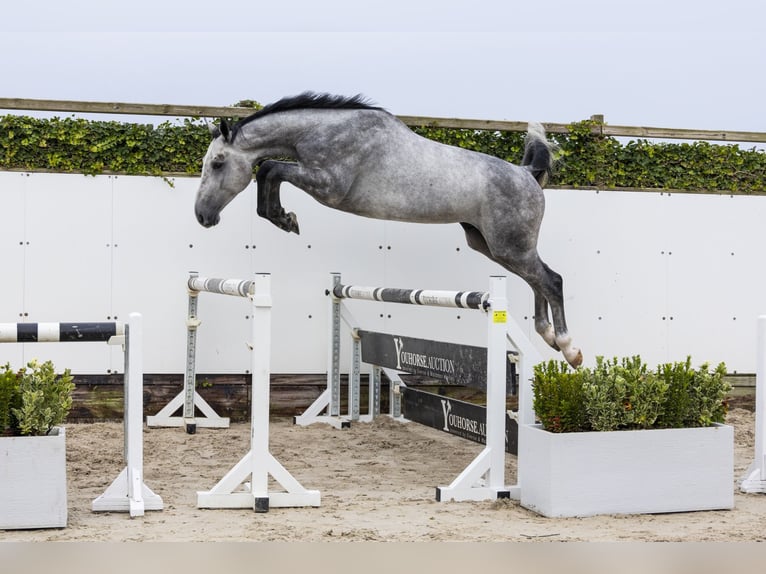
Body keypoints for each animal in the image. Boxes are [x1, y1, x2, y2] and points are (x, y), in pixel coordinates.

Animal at [195, 92, 584, 366]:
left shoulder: (328, 185)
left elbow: (270, 168)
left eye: (217, 164)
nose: (202, 216)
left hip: (509, 246)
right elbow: (269, 170)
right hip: (493, 246)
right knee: (538, 280)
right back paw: (549, 336)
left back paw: (569, 349)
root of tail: (527, 175)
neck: (322, 131)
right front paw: (283, 217)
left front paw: (284, 218)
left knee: (551, 280)